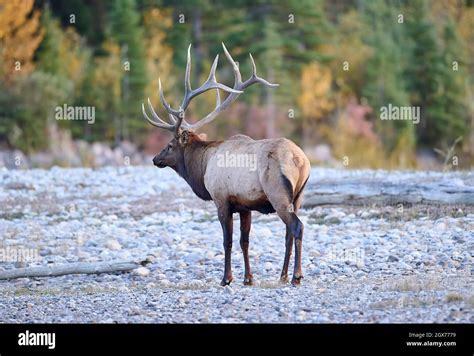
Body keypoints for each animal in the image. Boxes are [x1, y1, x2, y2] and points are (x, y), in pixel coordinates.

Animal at [142, 43, 312, 286]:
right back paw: (283, 275)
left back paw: (296, 276)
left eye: (170, 144)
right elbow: (244, 241)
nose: (155, 159)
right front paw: (248, 278)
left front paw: (226, 278)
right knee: (289, 232)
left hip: (278, 194)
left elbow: (227, 241)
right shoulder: (245, 206)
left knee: (296, 226)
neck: (203, 166)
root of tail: (301, 160)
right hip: (299, 196)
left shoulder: (221, 199)